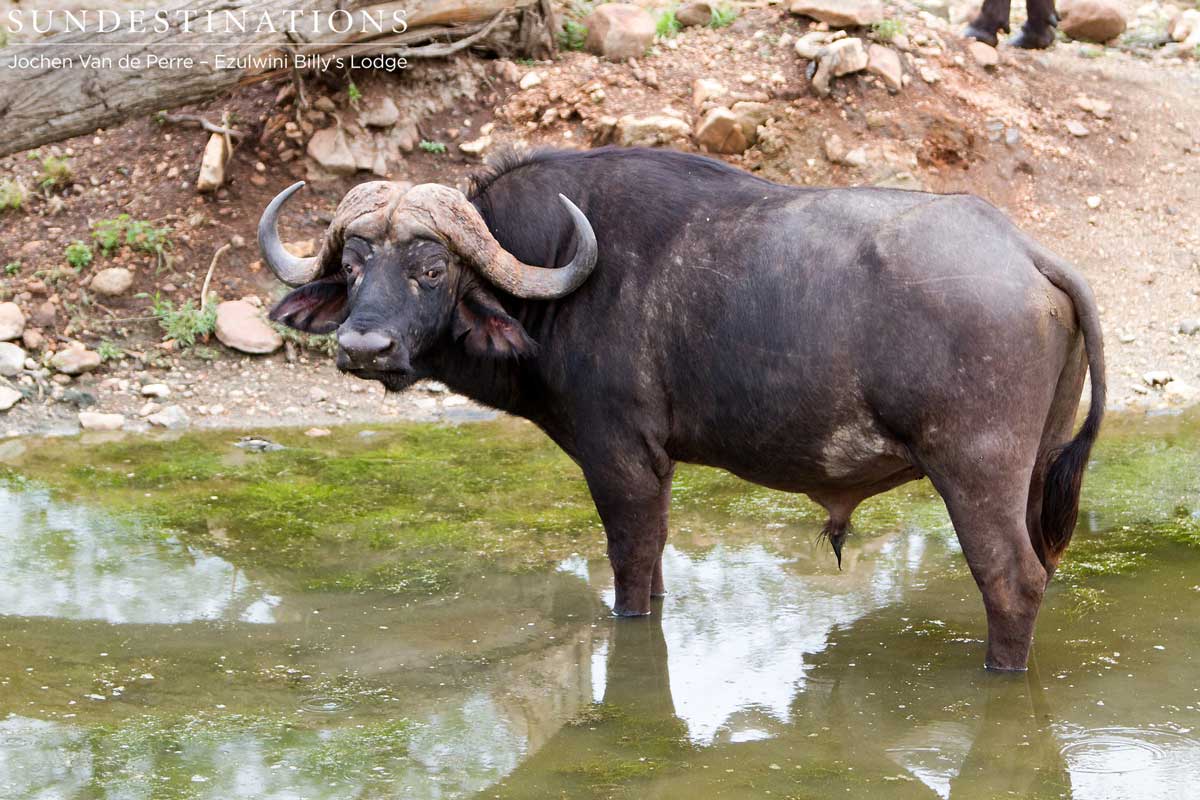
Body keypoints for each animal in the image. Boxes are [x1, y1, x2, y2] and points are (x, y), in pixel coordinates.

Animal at [259, 147, 1105, 672]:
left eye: (432, 268)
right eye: (354, 264)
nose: (363, 346)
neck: (560, 280)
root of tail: (1024, 253)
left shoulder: (619, 460)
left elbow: (630, 571)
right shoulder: (656, 468)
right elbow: (659, 565)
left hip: (976, 471)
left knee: (1012, 581)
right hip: (1036, 470)